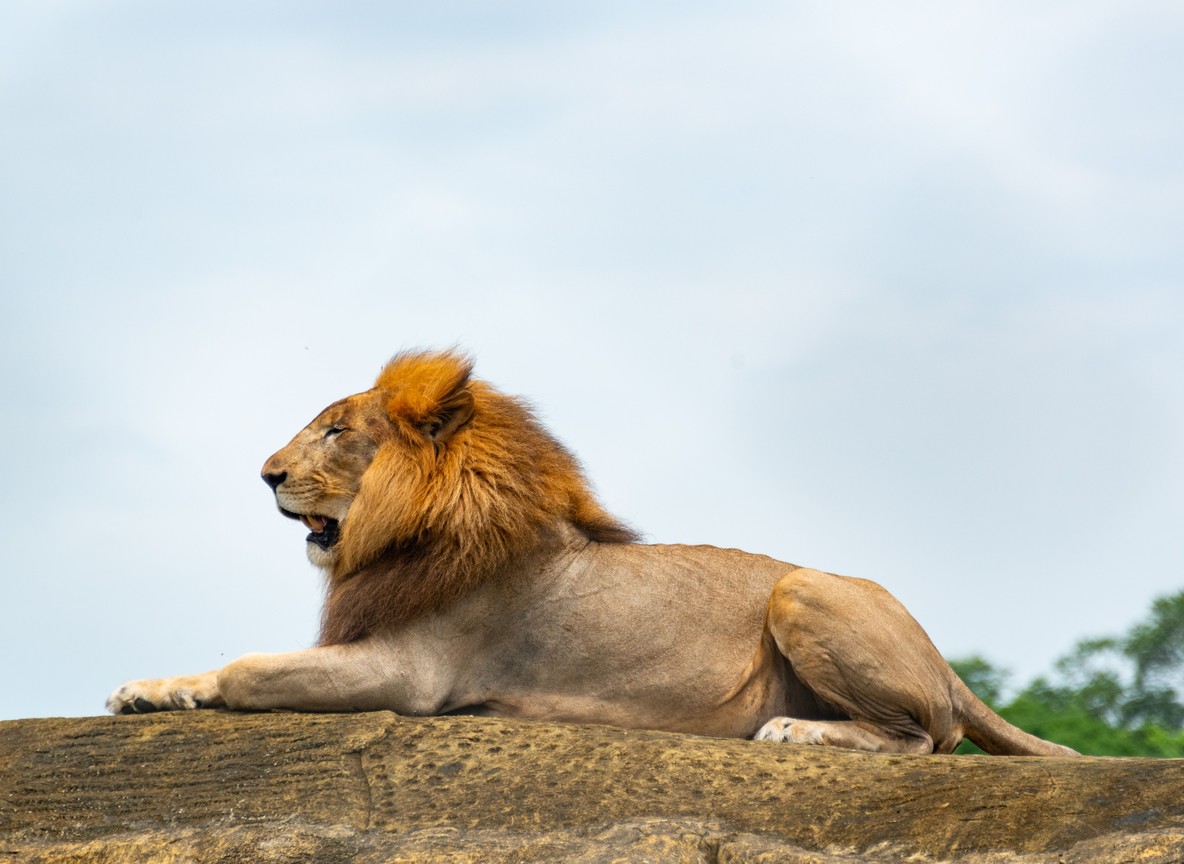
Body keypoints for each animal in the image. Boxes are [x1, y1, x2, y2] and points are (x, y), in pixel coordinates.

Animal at [107, 349, 1078, 756]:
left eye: (337, 431)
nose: (265, 475)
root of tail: (943, 661)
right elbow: (225, 664)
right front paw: (145, 690)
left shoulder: (411, 672)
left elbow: (250, 670)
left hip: (802, 591)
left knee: (924, 739)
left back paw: (797, 730)